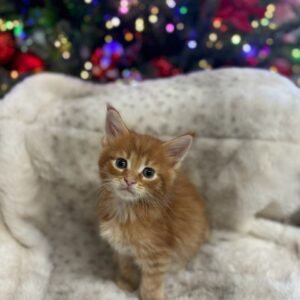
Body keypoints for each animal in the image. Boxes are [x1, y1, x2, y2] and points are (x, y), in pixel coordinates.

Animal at [97, 105, 210, 300]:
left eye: (148, 173)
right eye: (121, 163)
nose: (129, 180)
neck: (127, 210)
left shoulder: (158, 254)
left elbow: (151, 281)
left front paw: (150, 296)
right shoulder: (123, 249)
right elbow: (125, 266)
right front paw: (126, 284)